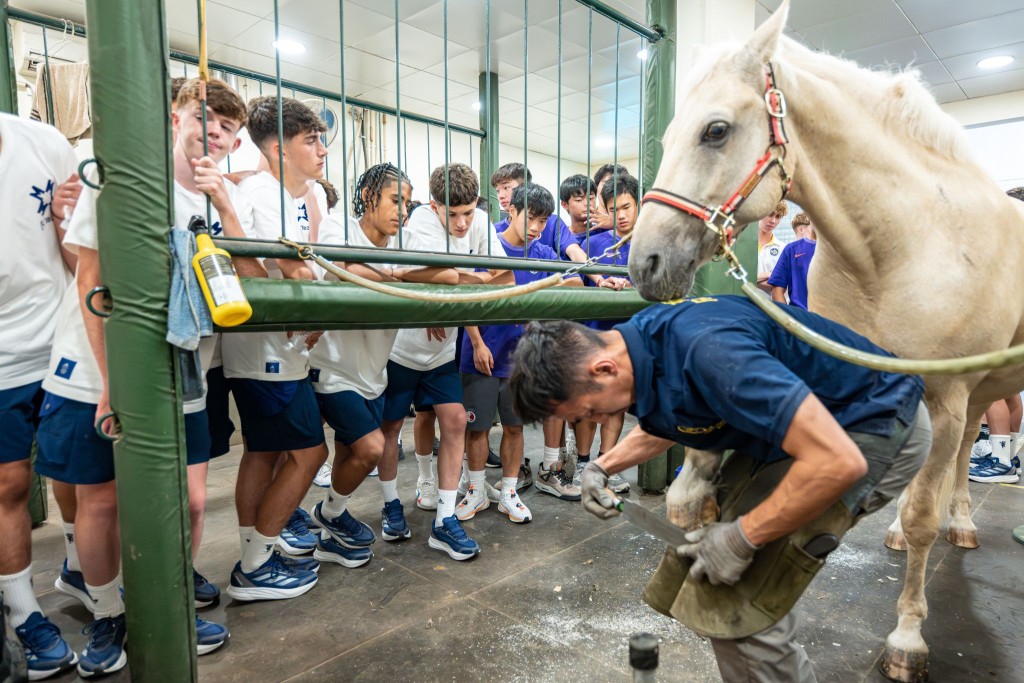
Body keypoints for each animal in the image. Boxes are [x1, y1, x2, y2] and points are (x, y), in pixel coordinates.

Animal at [626, 2, 1024, 679]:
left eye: (715, 131)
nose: (644, 264)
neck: (906, 245)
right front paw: (691, 491)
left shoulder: (944, 399)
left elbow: (923, 516)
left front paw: (908, 637)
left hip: (976, 392)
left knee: (954, 468)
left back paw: (958, 525)